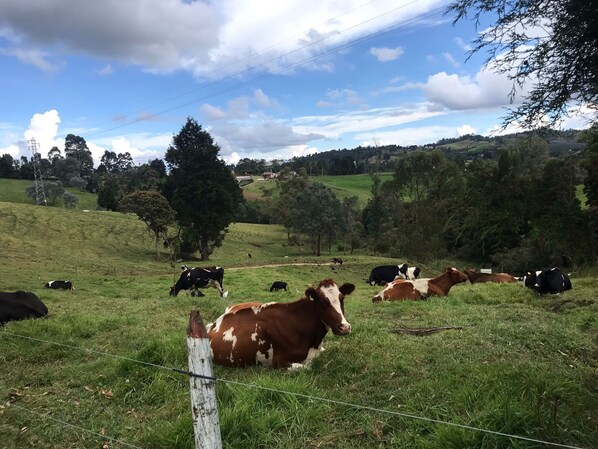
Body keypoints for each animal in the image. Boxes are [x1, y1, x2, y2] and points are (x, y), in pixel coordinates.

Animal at [207, 278, 356, 370]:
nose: (344, 327)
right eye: (322, 302)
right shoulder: (279, 362)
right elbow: (309, 367)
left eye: (342, 298)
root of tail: (215, 323)